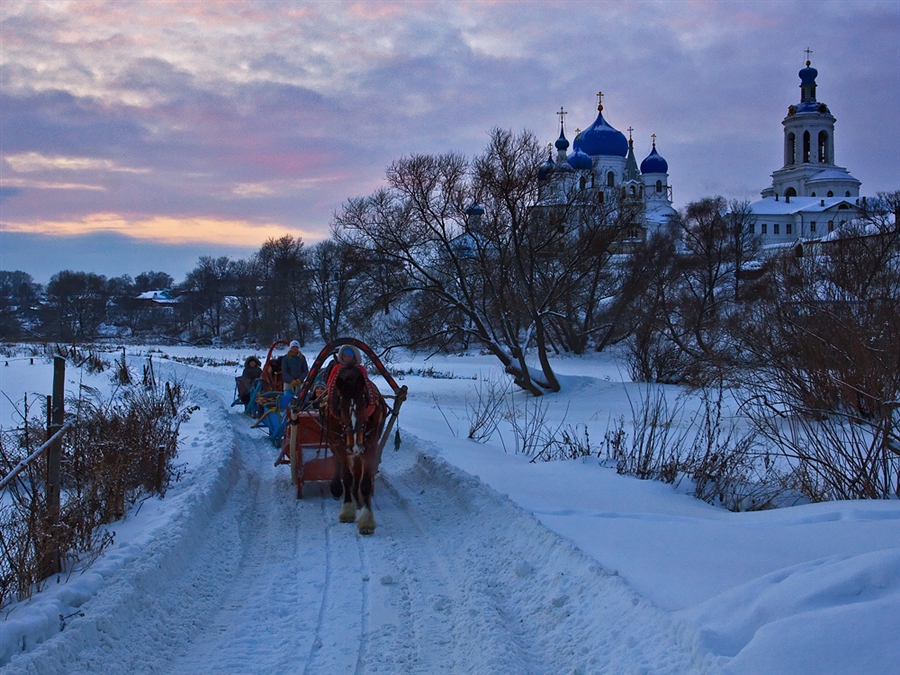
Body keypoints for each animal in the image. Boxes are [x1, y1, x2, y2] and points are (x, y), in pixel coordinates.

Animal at [326, 362, 386, 536]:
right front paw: (347, 510)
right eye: (340, 406)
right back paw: (338, 488)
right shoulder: (340, 446)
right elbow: (346, 477)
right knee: (338, 463)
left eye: (364, 403)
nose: (354, 446)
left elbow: (365, 483)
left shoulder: (370, 447)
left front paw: (366, 520)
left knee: (358, 471)